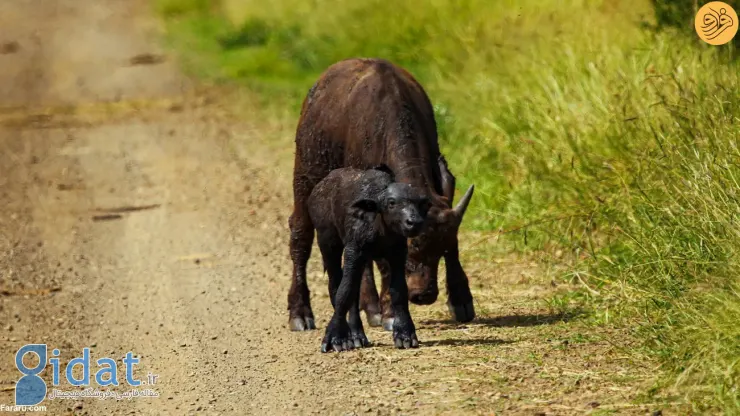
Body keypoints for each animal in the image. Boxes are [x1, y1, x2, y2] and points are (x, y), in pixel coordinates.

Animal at [286, 57, 476, 332]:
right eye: (410, 249)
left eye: (438, 251)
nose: (424, 294)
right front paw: (391, 312)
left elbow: (453, 241)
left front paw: (461, 298)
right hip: (304, 175)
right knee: (300, 236)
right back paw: (301, 312)